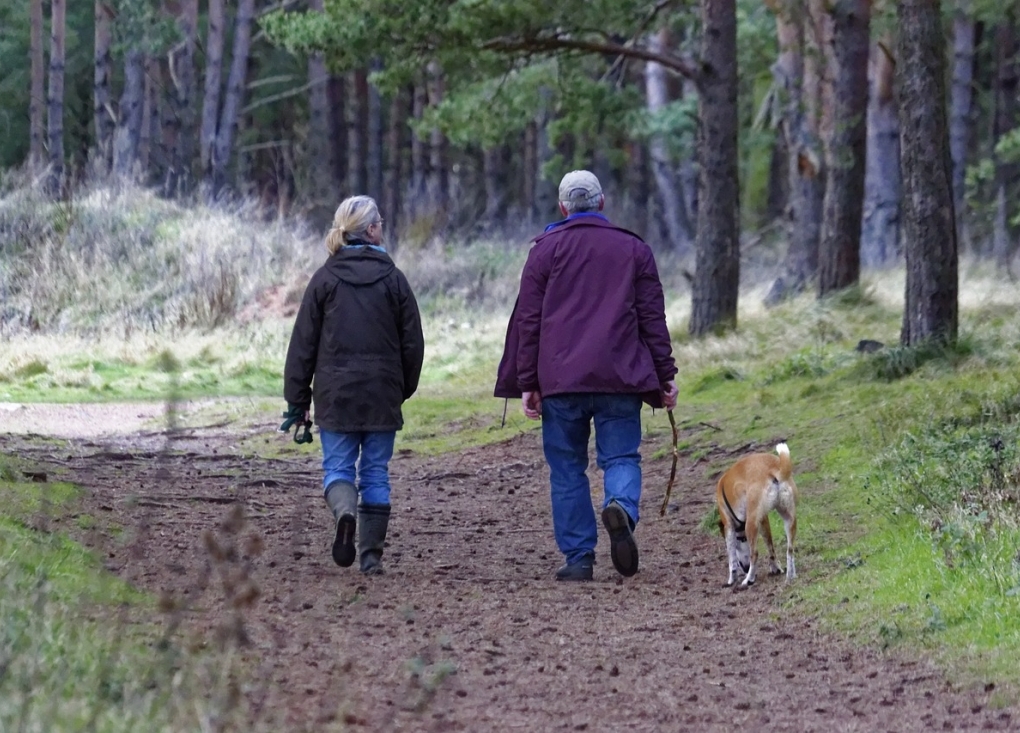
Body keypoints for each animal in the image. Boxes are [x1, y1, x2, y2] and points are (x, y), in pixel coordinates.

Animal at [718, 442, 795, 591]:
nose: (746, 568)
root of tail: (772, 468)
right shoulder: (763, 519)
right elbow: (771, 547)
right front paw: (776, 569)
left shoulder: (728, 526)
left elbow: (732, 559)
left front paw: (731, 580)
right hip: (789, 519)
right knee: (790, 550)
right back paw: (790, 576)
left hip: (751, 525)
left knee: (755, 555)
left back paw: (748, 580)